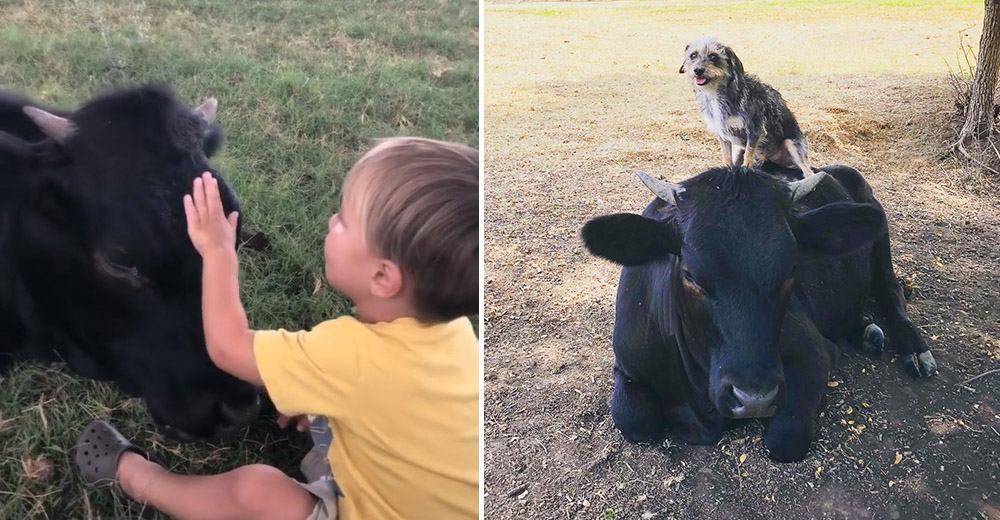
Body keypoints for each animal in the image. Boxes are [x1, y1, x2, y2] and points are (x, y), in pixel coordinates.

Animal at [584, 165, 932, 462]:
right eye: (691, 275)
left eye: (791, 270)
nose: (755, 398)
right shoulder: (628, 364)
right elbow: (633, 421)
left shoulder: (813, 353)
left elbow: (785, 438)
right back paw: (867, 333)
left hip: (881, 245)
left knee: (891, 292)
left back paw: (914, 350)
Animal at [680, 37, 820, 179]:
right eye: (693, 55)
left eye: (713, 56)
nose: (698, 70)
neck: (718, 92)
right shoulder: (723, 135)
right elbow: (727, 158)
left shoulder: (754, 129)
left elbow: (748, 155)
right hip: (738, 149)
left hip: (793, 146)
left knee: (808, 172)